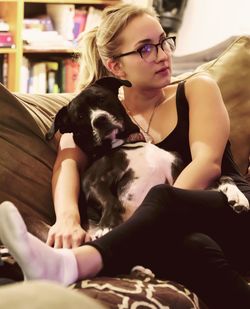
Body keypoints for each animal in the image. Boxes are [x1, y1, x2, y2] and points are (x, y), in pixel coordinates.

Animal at [46, 76, 249, 236]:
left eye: (102, 99)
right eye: (80, 117)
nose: (99, 120)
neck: (126, 143)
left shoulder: (178, 174)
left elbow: (223, 177)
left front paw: (237, 195)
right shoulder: (93, 183)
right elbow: (111, 201)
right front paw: (107, 226)